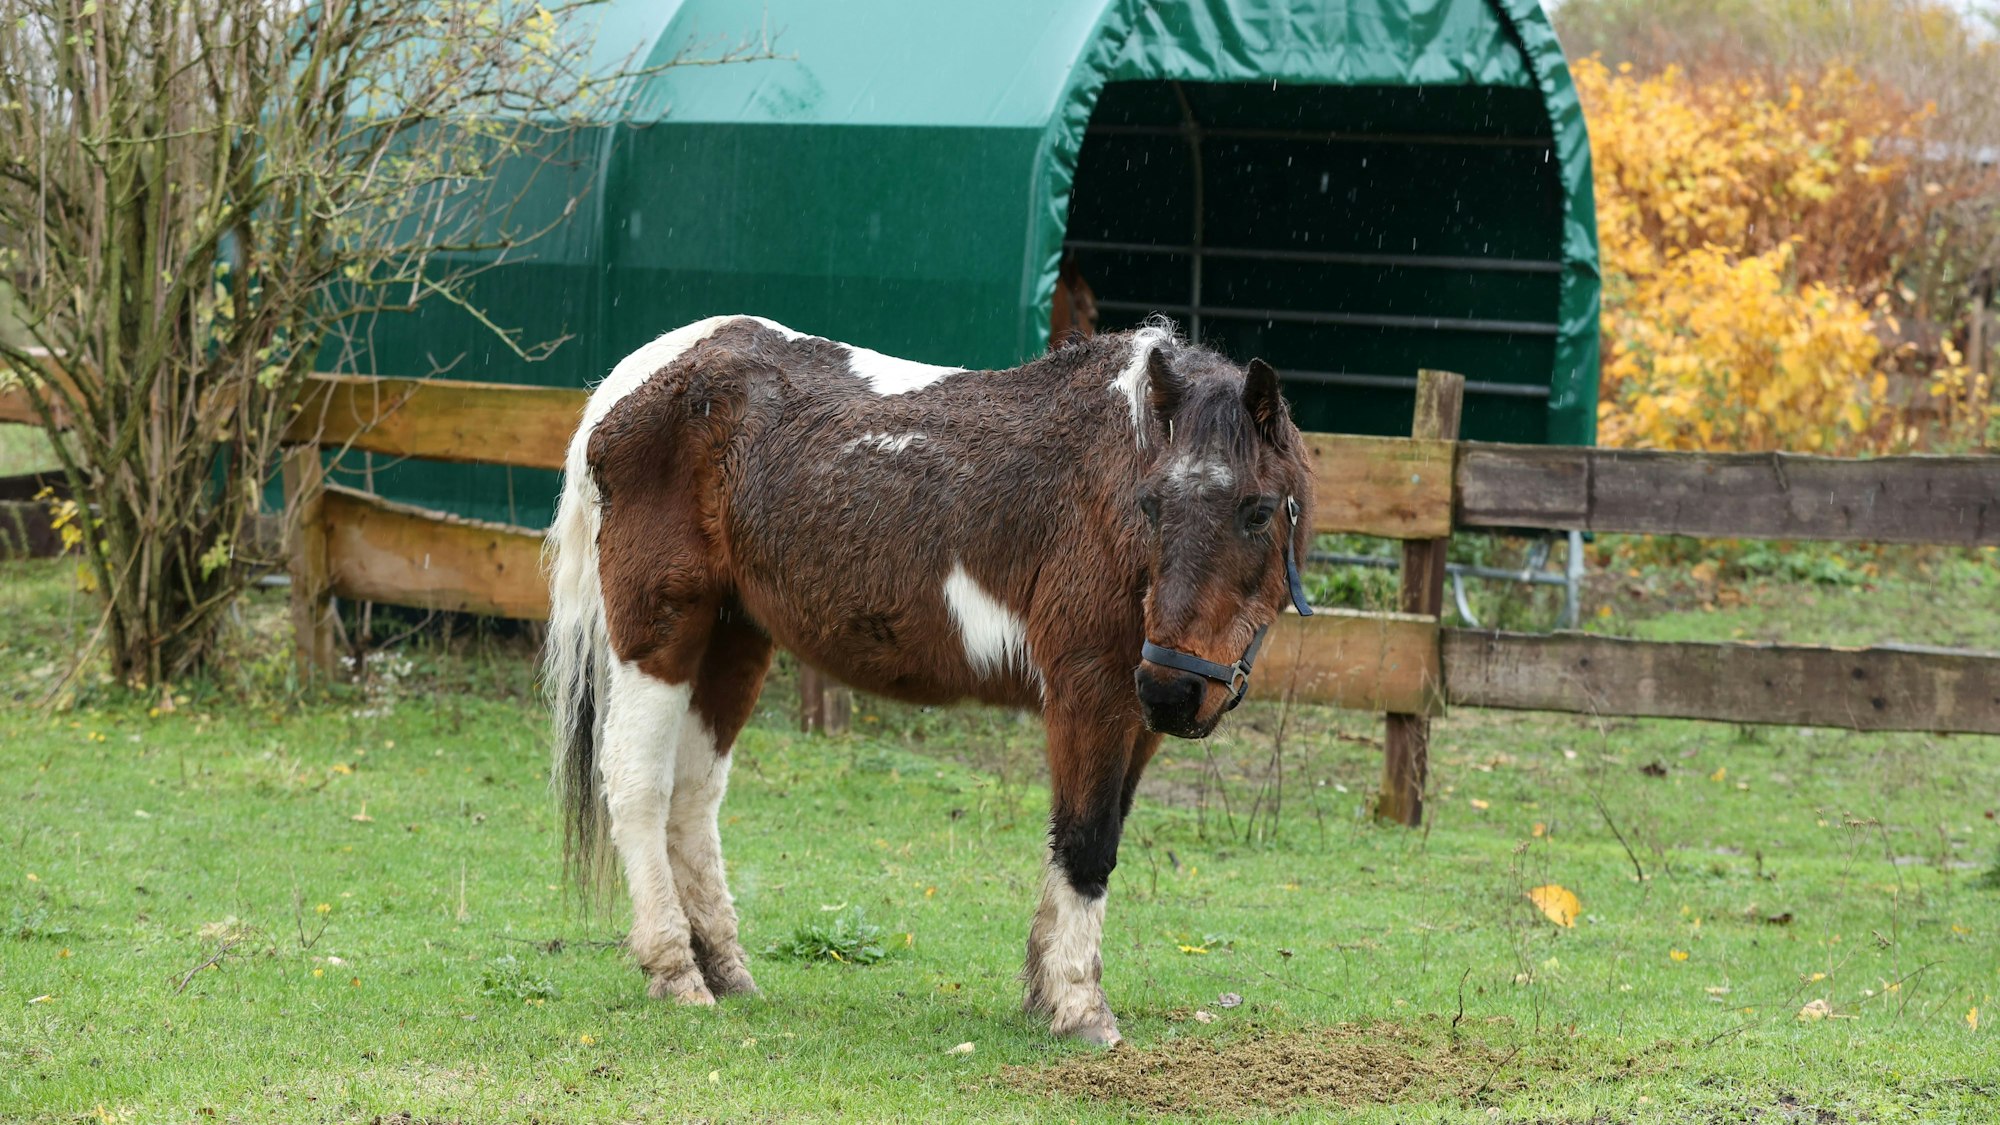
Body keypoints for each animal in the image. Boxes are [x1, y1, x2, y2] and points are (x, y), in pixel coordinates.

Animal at [543, 315, 1315, 1046]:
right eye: (1150, 504)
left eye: (1258, 510)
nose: (1175, 692)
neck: (1105, 485)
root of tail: (629, 384)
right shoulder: (1089, 688)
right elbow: (1085, 839)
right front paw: (1078, 1006)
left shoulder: (1135, 714)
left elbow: (1088, 833)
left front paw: (1044, 993)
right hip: (660, 635)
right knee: (639, 785)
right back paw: (675, 970)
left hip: (734, 639)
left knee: (694, 796)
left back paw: (725, 970)